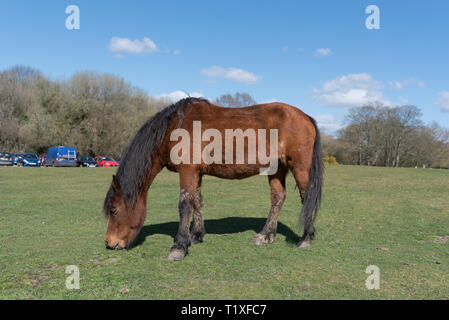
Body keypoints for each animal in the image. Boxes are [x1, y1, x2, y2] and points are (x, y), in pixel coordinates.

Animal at [103, 97, 322, 260]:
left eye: (114, 210)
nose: (109, 243)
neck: (175, 128)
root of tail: (305, 117)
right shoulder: (196, 173)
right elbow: (197, 202)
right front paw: (195, 236)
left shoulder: (187, 172)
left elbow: (185, 205)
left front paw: (179, 246)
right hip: (277, 169)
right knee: (278, 197)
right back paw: (266, 235)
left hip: (300, 167)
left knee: (306, 197)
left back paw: (305, 238)